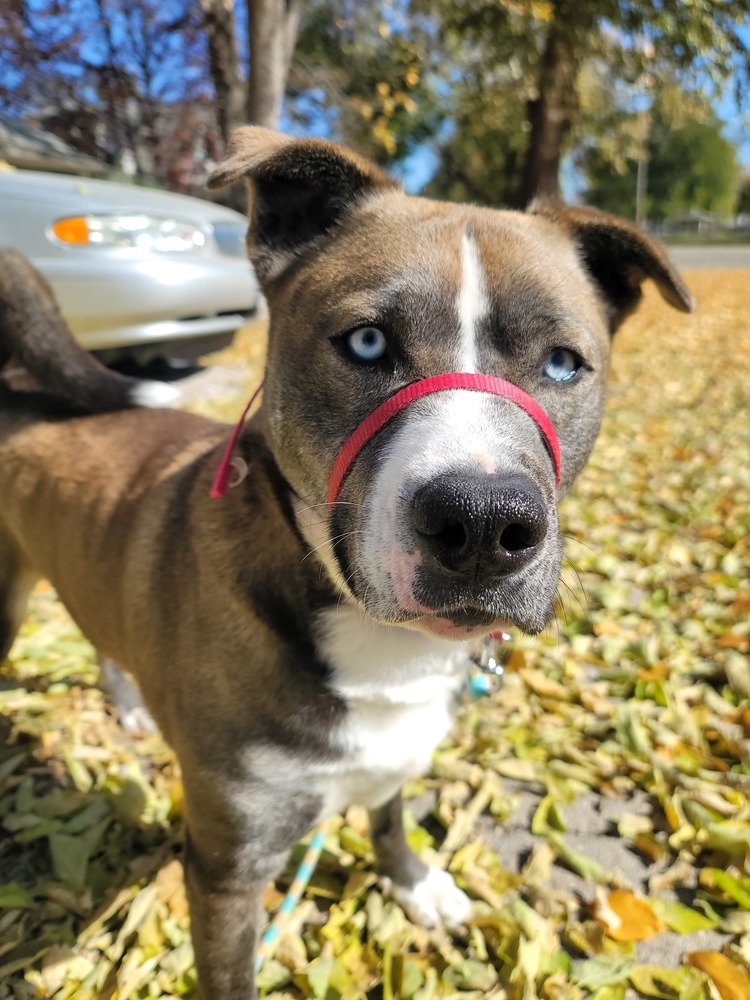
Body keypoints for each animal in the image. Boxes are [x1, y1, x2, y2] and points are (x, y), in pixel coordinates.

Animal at [0, 129, 692, 996]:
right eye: (366, 342)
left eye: (564, 363)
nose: (484, 523)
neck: (377, 646)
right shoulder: (226, 868)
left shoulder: (395, 759)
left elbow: (389, 818)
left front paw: (413, 883)